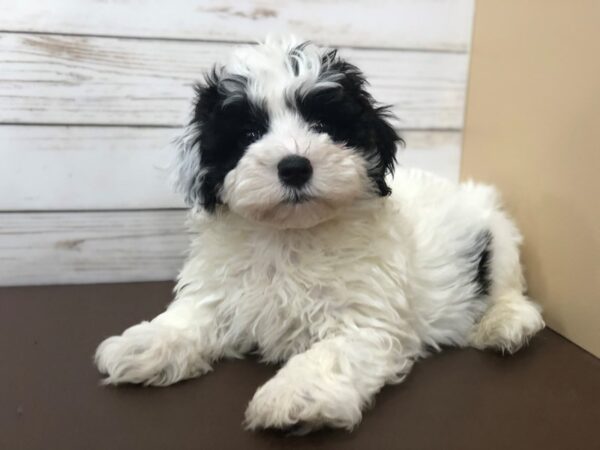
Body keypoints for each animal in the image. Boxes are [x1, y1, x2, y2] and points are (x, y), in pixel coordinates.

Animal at [94, 37, 544, 430]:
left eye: (324, 123)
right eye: (248, 134)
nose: (295, 166)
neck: (291, 235)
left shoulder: (365, 318)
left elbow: (331, 353)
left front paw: (294, 395)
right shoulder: (222, 291)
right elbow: (193, 316)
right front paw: (148, 342)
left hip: (497, 241)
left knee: (509, 290)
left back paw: (505, 325)